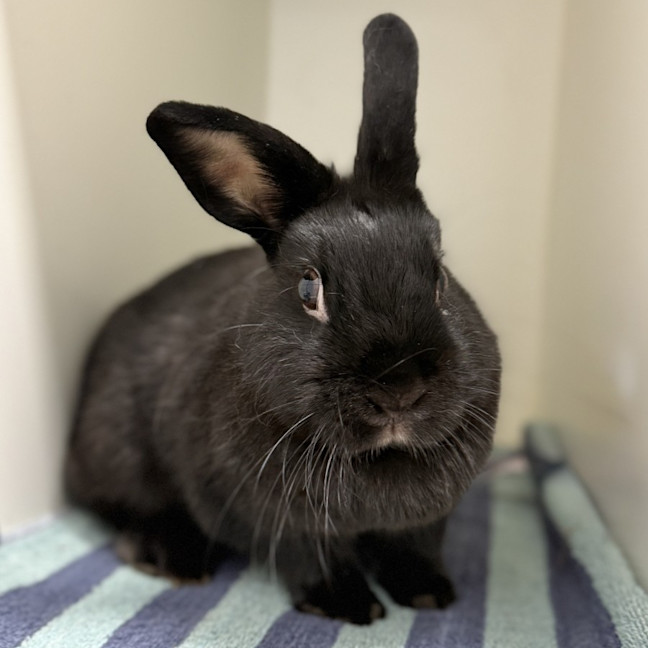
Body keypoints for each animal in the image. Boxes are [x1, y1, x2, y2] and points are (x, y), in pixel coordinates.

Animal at [65, 13, 501, 625]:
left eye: (440, 277)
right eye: (308, 288)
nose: (400, 388)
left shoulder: (421, 523)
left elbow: (413, 545)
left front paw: (428, 595)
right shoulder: (277, 519)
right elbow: (312, 557)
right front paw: (350, 606)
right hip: (116, 451)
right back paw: (173, 559)